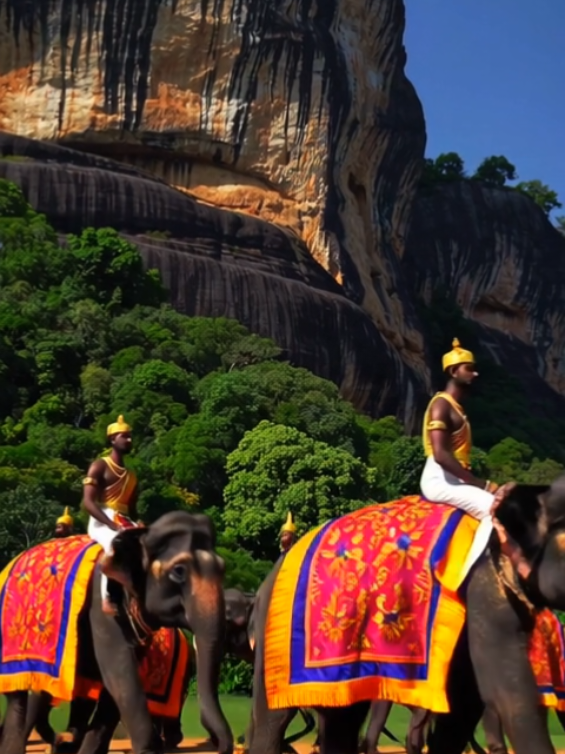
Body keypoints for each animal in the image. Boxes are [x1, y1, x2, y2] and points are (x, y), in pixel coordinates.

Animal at [0, 506, 231, 752]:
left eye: (223, 569)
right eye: (179, 571)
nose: (218, 744)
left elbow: (118, 683)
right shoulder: (101, 603)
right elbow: (120, 672)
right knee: (23, 696)